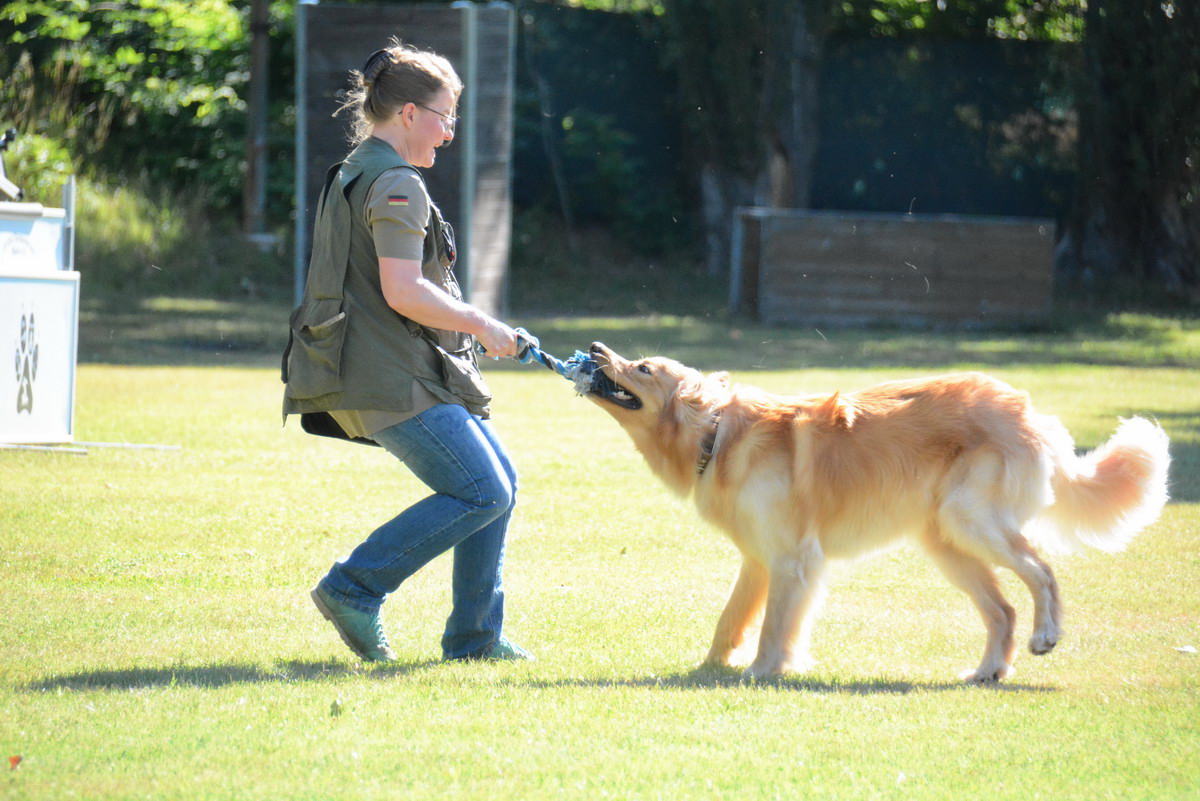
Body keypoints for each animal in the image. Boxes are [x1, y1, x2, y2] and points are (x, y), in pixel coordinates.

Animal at [585, 342, 1166, 681]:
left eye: (642, 368)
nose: (593, 347)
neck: (717, 433)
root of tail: (1030, 411)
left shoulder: (793, 560)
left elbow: (773, 627)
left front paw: (763, 671)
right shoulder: (758, 560)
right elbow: (732, 619)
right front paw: (710, 668)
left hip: (970, 521)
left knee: (1042, 571)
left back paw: (1046, 636)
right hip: (946, 543)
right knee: (1002, 609)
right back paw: (986, 672)